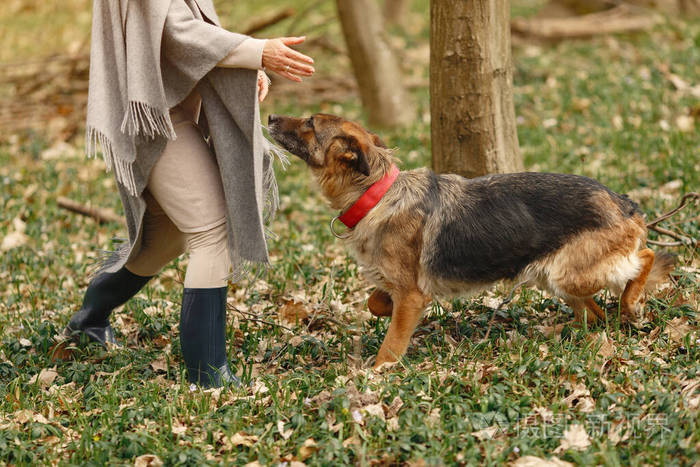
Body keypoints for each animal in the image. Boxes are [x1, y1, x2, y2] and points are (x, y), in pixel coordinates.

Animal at [266, 113, 672, 370]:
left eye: (310, 123)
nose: (268, 116)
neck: (376, 193)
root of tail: (624, 203)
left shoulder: (413, 297)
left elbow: (391, 343)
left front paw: (378, 374)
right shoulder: (405, 290)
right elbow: (375, 301)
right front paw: (380, 305)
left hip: (568, 273)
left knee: (647, 258)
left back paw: (631, 302)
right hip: (556, 276)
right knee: (594, 313)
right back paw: (566, 331)